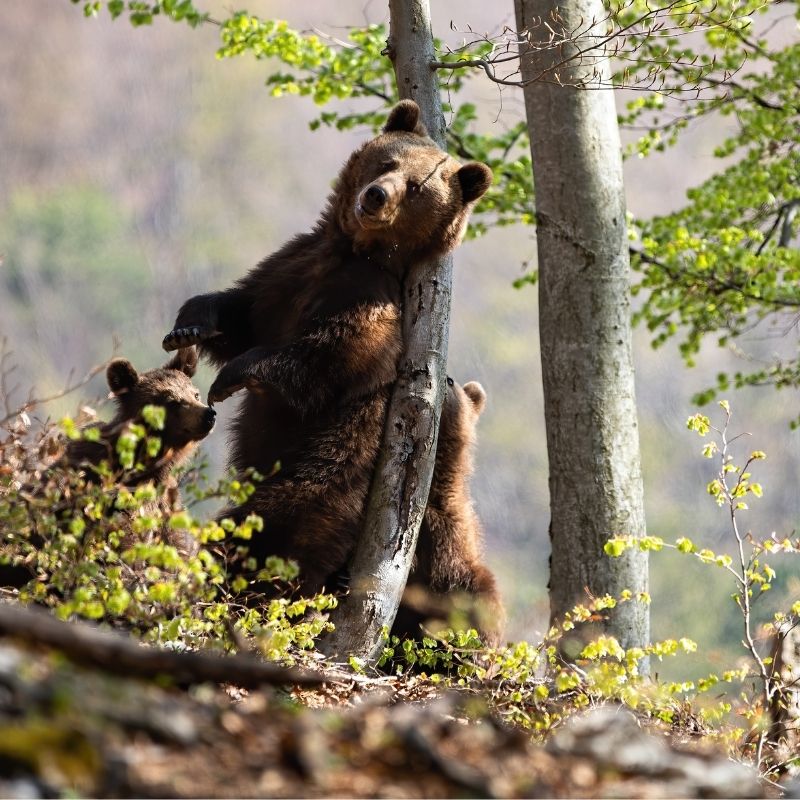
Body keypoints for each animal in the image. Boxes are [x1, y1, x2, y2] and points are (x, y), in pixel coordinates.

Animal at [163, 100, 494, 596]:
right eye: (388, 162)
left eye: (417, 186)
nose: (376, 196)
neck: (354, 249)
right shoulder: (290, 270)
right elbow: (244, 313)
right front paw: (188, 327)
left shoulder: (366, 299)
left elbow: (333, 351)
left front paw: (232, 377)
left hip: (338, 458)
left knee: (286, 512)